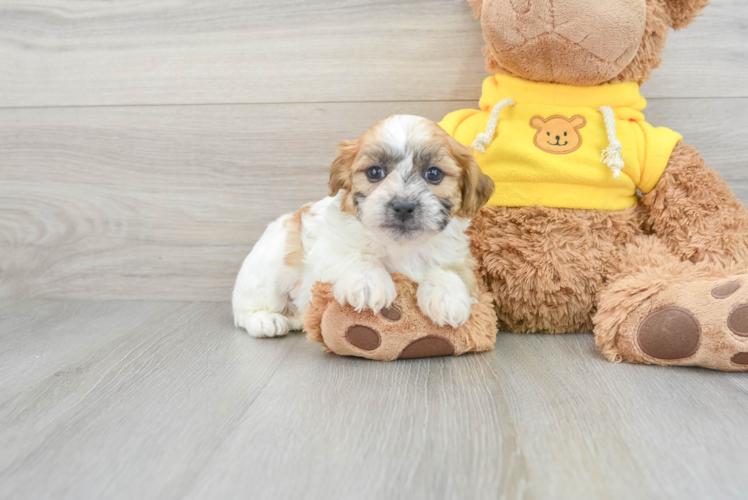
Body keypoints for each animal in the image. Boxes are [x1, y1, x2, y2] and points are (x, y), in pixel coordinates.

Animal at [231, 115, 494, 338]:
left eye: (434, 174)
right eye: (375, 172)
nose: (403, 206)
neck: (401, 248)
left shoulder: (459, 257)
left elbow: (449, 270)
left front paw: (447, 297)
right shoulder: (326, 252)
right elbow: (355, 255)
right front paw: (368, 283)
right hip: (269, 271)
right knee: (246, 310)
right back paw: (267, 321)